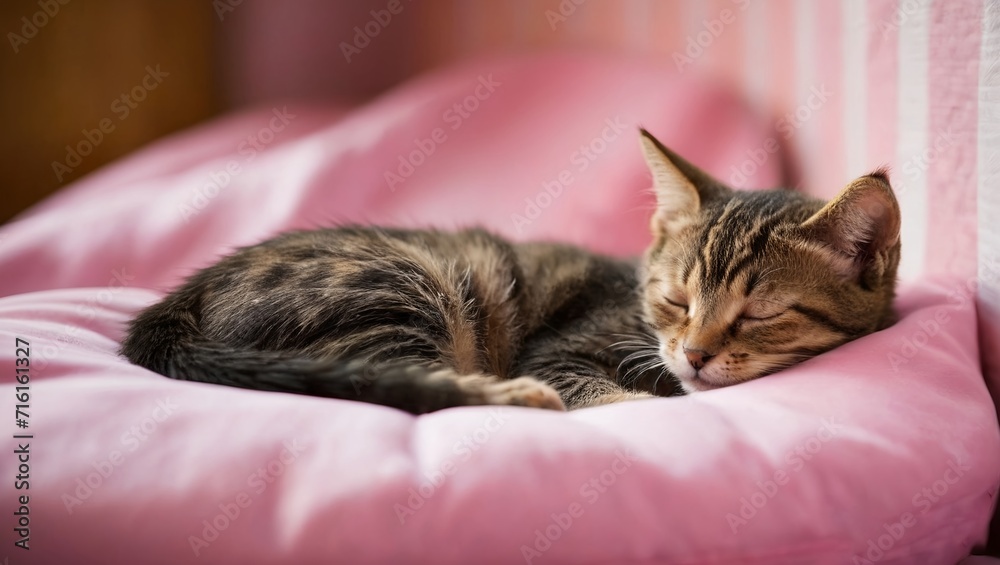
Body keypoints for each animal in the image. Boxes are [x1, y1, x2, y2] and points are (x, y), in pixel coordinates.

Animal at [121, 131, 904, 414]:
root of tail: (178, 303)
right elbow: (616, 397)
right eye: (676, 300)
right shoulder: (559, 349)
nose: (694, 354)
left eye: (761, 313)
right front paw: (646, 399)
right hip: (407, 290)